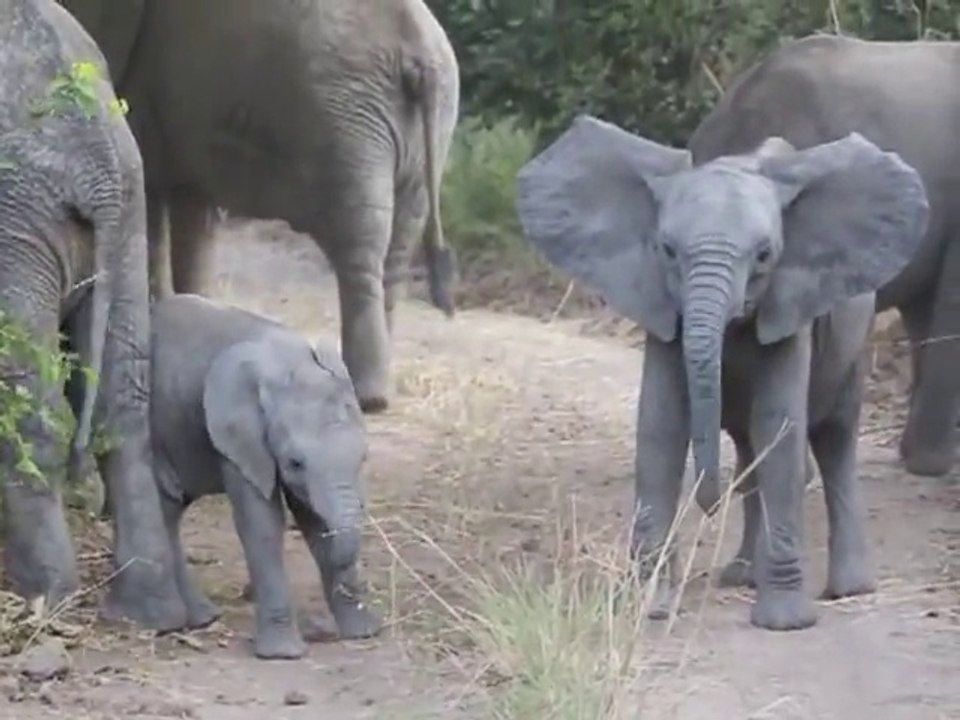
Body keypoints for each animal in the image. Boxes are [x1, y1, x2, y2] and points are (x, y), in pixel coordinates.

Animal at [0, 0, 185, 630]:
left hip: (19, 219)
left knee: (29, 400)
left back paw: (41, 598)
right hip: (129, 206)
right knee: (124, 405)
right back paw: (152, 612)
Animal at [60, 0, 461, 413]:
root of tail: (421, 57)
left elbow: (155, 194)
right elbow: (194, 210)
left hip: (352, 127)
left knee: (360, 247)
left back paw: (366, 395)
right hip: (414, 126)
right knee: (396, 249)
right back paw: (376, 390)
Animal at [147, 294, 382, 659]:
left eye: (363, 457)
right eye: (295, 463)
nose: (320, 629)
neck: (289, 362)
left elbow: (312, 519)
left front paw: (362, 633)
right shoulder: (237, 435)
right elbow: (262, 523)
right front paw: (283, 654)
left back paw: (204, 618)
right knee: (166, 506)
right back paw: (200, 619)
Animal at [515, 115, 929, 630]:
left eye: (766, 255)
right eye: (667, 251)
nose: (708, 503)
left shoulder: (791, 308)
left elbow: (779, 427)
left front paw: (784, 624)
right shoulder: (662, 307)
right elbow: (661, 428)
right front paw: (648, 609)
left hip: (855, 335)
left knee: (834, 439)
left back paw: (848, 589)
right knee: (750, 452)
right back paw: (742, 576)